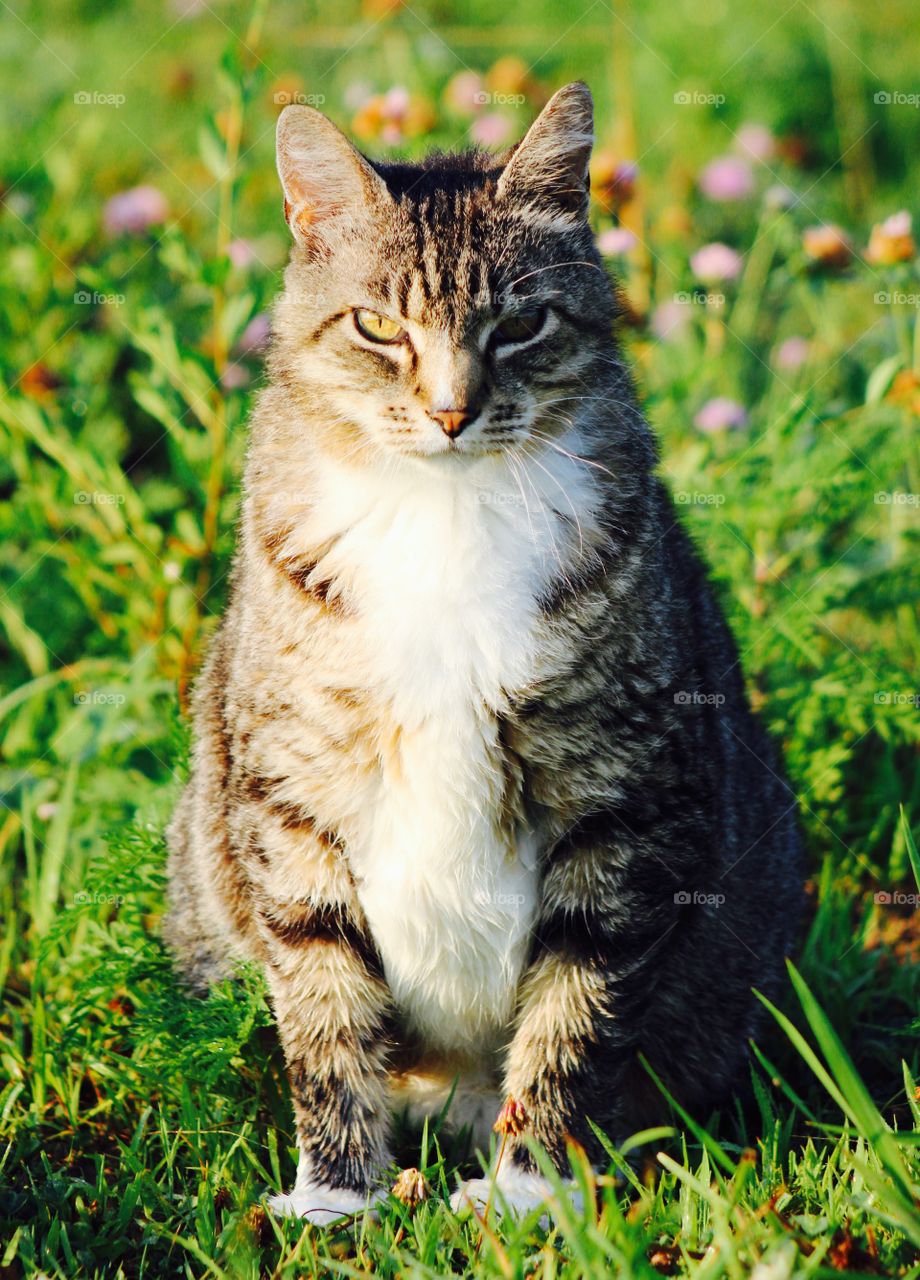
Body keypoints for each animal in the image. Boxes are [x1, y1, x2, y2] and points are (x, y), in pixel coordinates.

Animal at [167, 80, 808, 1218]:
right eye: (377, 325)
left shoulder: (622, 805)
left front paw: (527, 1196)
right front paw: (336, 1200)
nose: (451, 411)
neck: (445, 510)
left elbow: (573, 1013)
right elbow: (324, 1014)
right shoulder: (291, 801)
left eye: (520, 323)